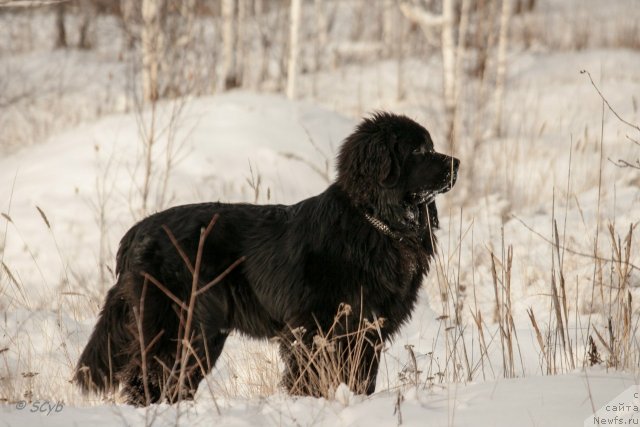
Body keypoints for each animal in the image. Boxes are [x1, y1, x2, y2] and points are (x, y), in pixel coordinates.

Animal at [75, 112, 460, 406]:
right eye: (419, 150)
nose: (457, 162)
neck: (375, 222)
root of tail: (136, 232)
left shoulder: (368, 330)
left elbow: (361, 380)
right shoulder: (314, 326)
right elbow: (310, 377)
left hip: (201, 332)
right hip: (177, 324)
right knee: (148, 377)